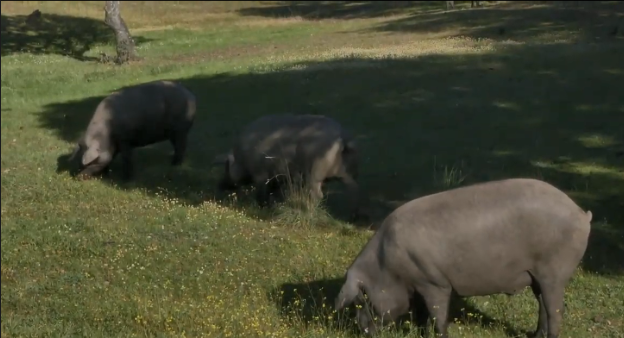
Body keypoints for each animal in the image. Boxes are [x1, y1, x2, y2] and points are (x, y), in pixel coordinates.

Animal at [68, 79, 196, 180]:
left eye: (89, 163)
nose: (77, 177)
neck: (105, 134)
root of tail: (190, 95)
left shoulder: (124, 139)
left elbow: (127, 158)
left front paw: (126, 179)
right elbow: (111, 159)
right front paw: (106, 175)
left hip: (181, 128)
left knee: (181, 145)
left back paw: (175, 164)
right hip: (174, 132)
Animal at [214, 113, 360, 219]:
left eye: (226, 166)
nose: (220, 185)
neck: (242, 159)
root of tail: (342, 136)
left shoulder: (260, 174)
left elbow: (262, 191)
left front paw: (263, 206)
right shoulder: (277, 176)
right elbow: (273, 191)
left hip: (315, 173)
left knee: (317, 194)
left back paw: (308, 211)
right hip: (349, 172)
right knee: (354, 189)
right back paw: (354, 215)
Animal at [334, 178, 592, 336]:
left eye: (361, 299)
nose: (362, 331)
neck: (388, 266)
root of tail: (581, 213)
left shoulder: (434, 282)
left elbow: (438, 316)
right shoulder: (419, 284)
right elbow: (422, 315)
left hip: (554, 272)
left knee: (556, 310)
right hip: (537, 276)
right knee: (543, 307)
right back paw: (534, 335)